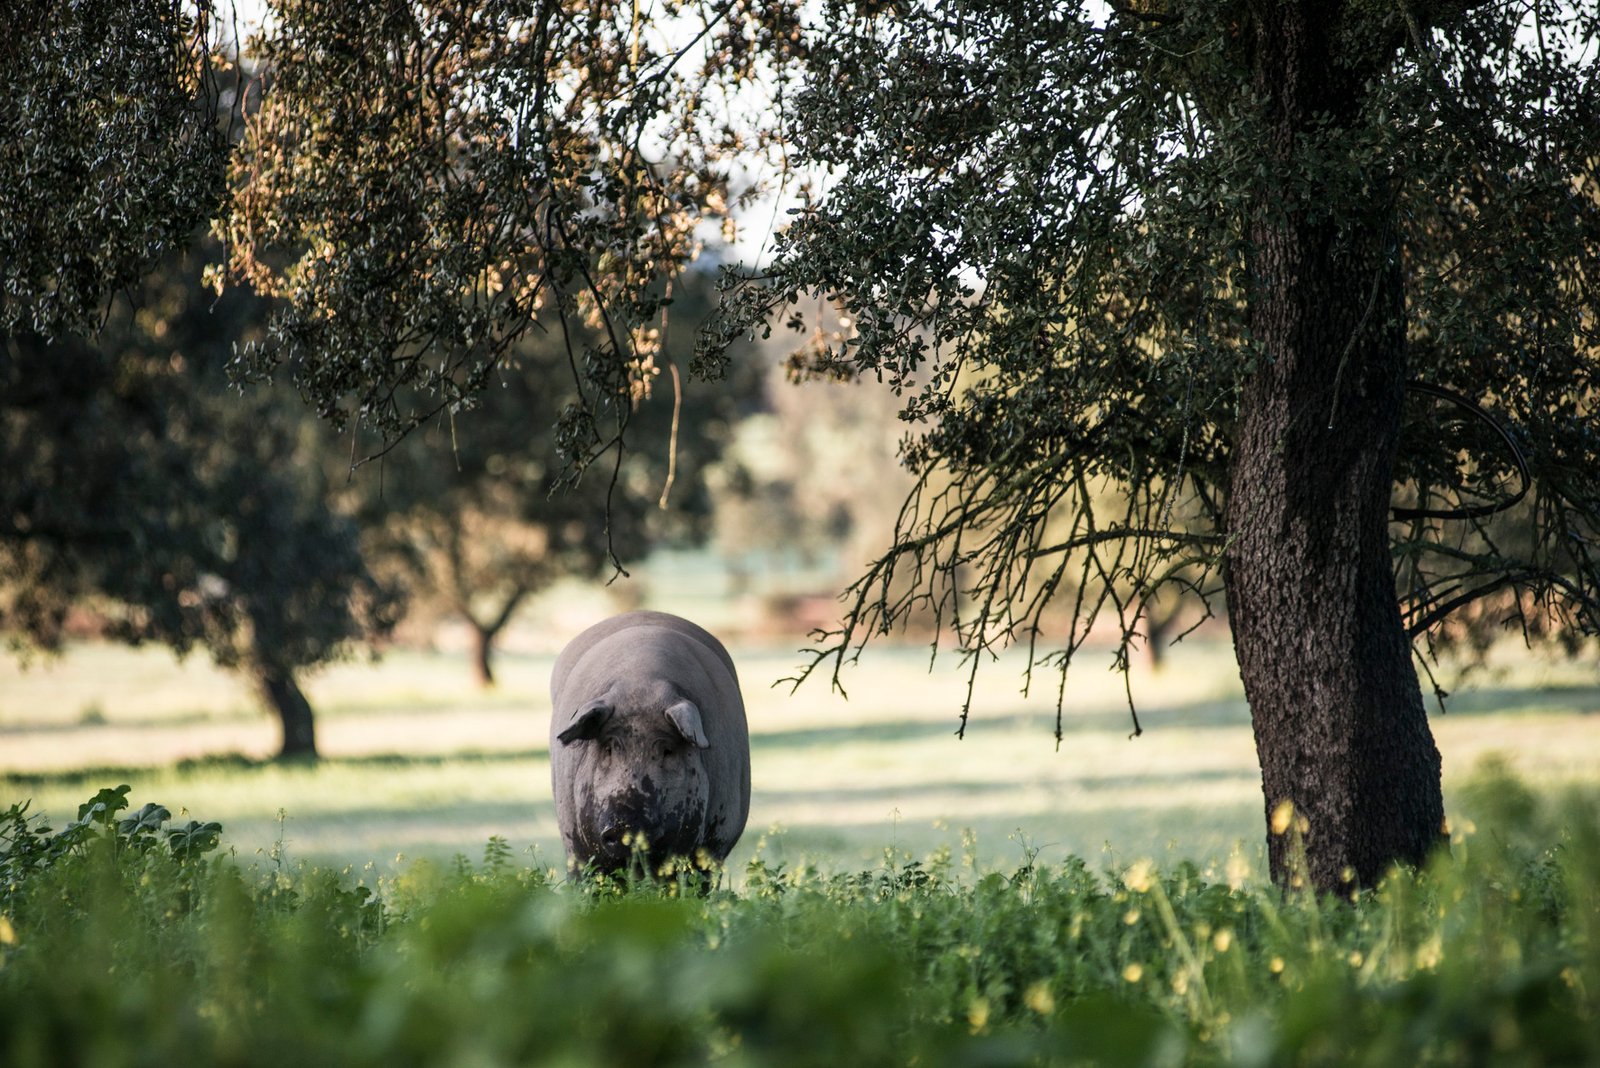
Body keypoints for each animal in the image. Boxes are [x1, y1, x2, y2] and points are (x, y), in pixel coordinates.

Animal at [549, 610, 750, 876]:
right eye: (608, 748)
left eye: (667, 750)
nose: (625, 823)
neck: (640, 686)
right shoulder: (574, 843)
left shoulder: (718, 841)